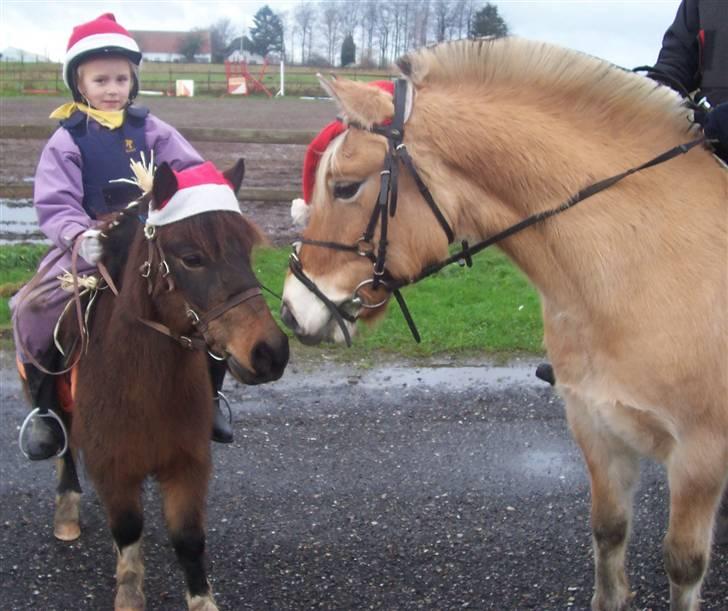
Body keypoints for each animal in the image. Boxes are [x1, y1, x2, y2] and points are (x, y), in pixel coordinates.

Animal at [28, 160, 290, 608]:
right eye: (192, 258)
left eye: (246, 251)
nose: (270, 352)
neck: (143, 384)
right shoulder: (113, 466)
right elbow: (128, 529)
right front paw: (130, 593)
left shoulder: (188, 463)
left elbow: (188, 538)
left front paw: (202, 599)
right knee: (63, 451)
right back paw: (66, 509)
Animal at [280, 37, 728, 611]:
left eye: (344, 187)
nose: (291, 310)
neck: (641, 268)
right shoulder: (597, 428)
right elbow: (608, 537)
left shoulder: (700, 456)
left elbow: (684, 563)